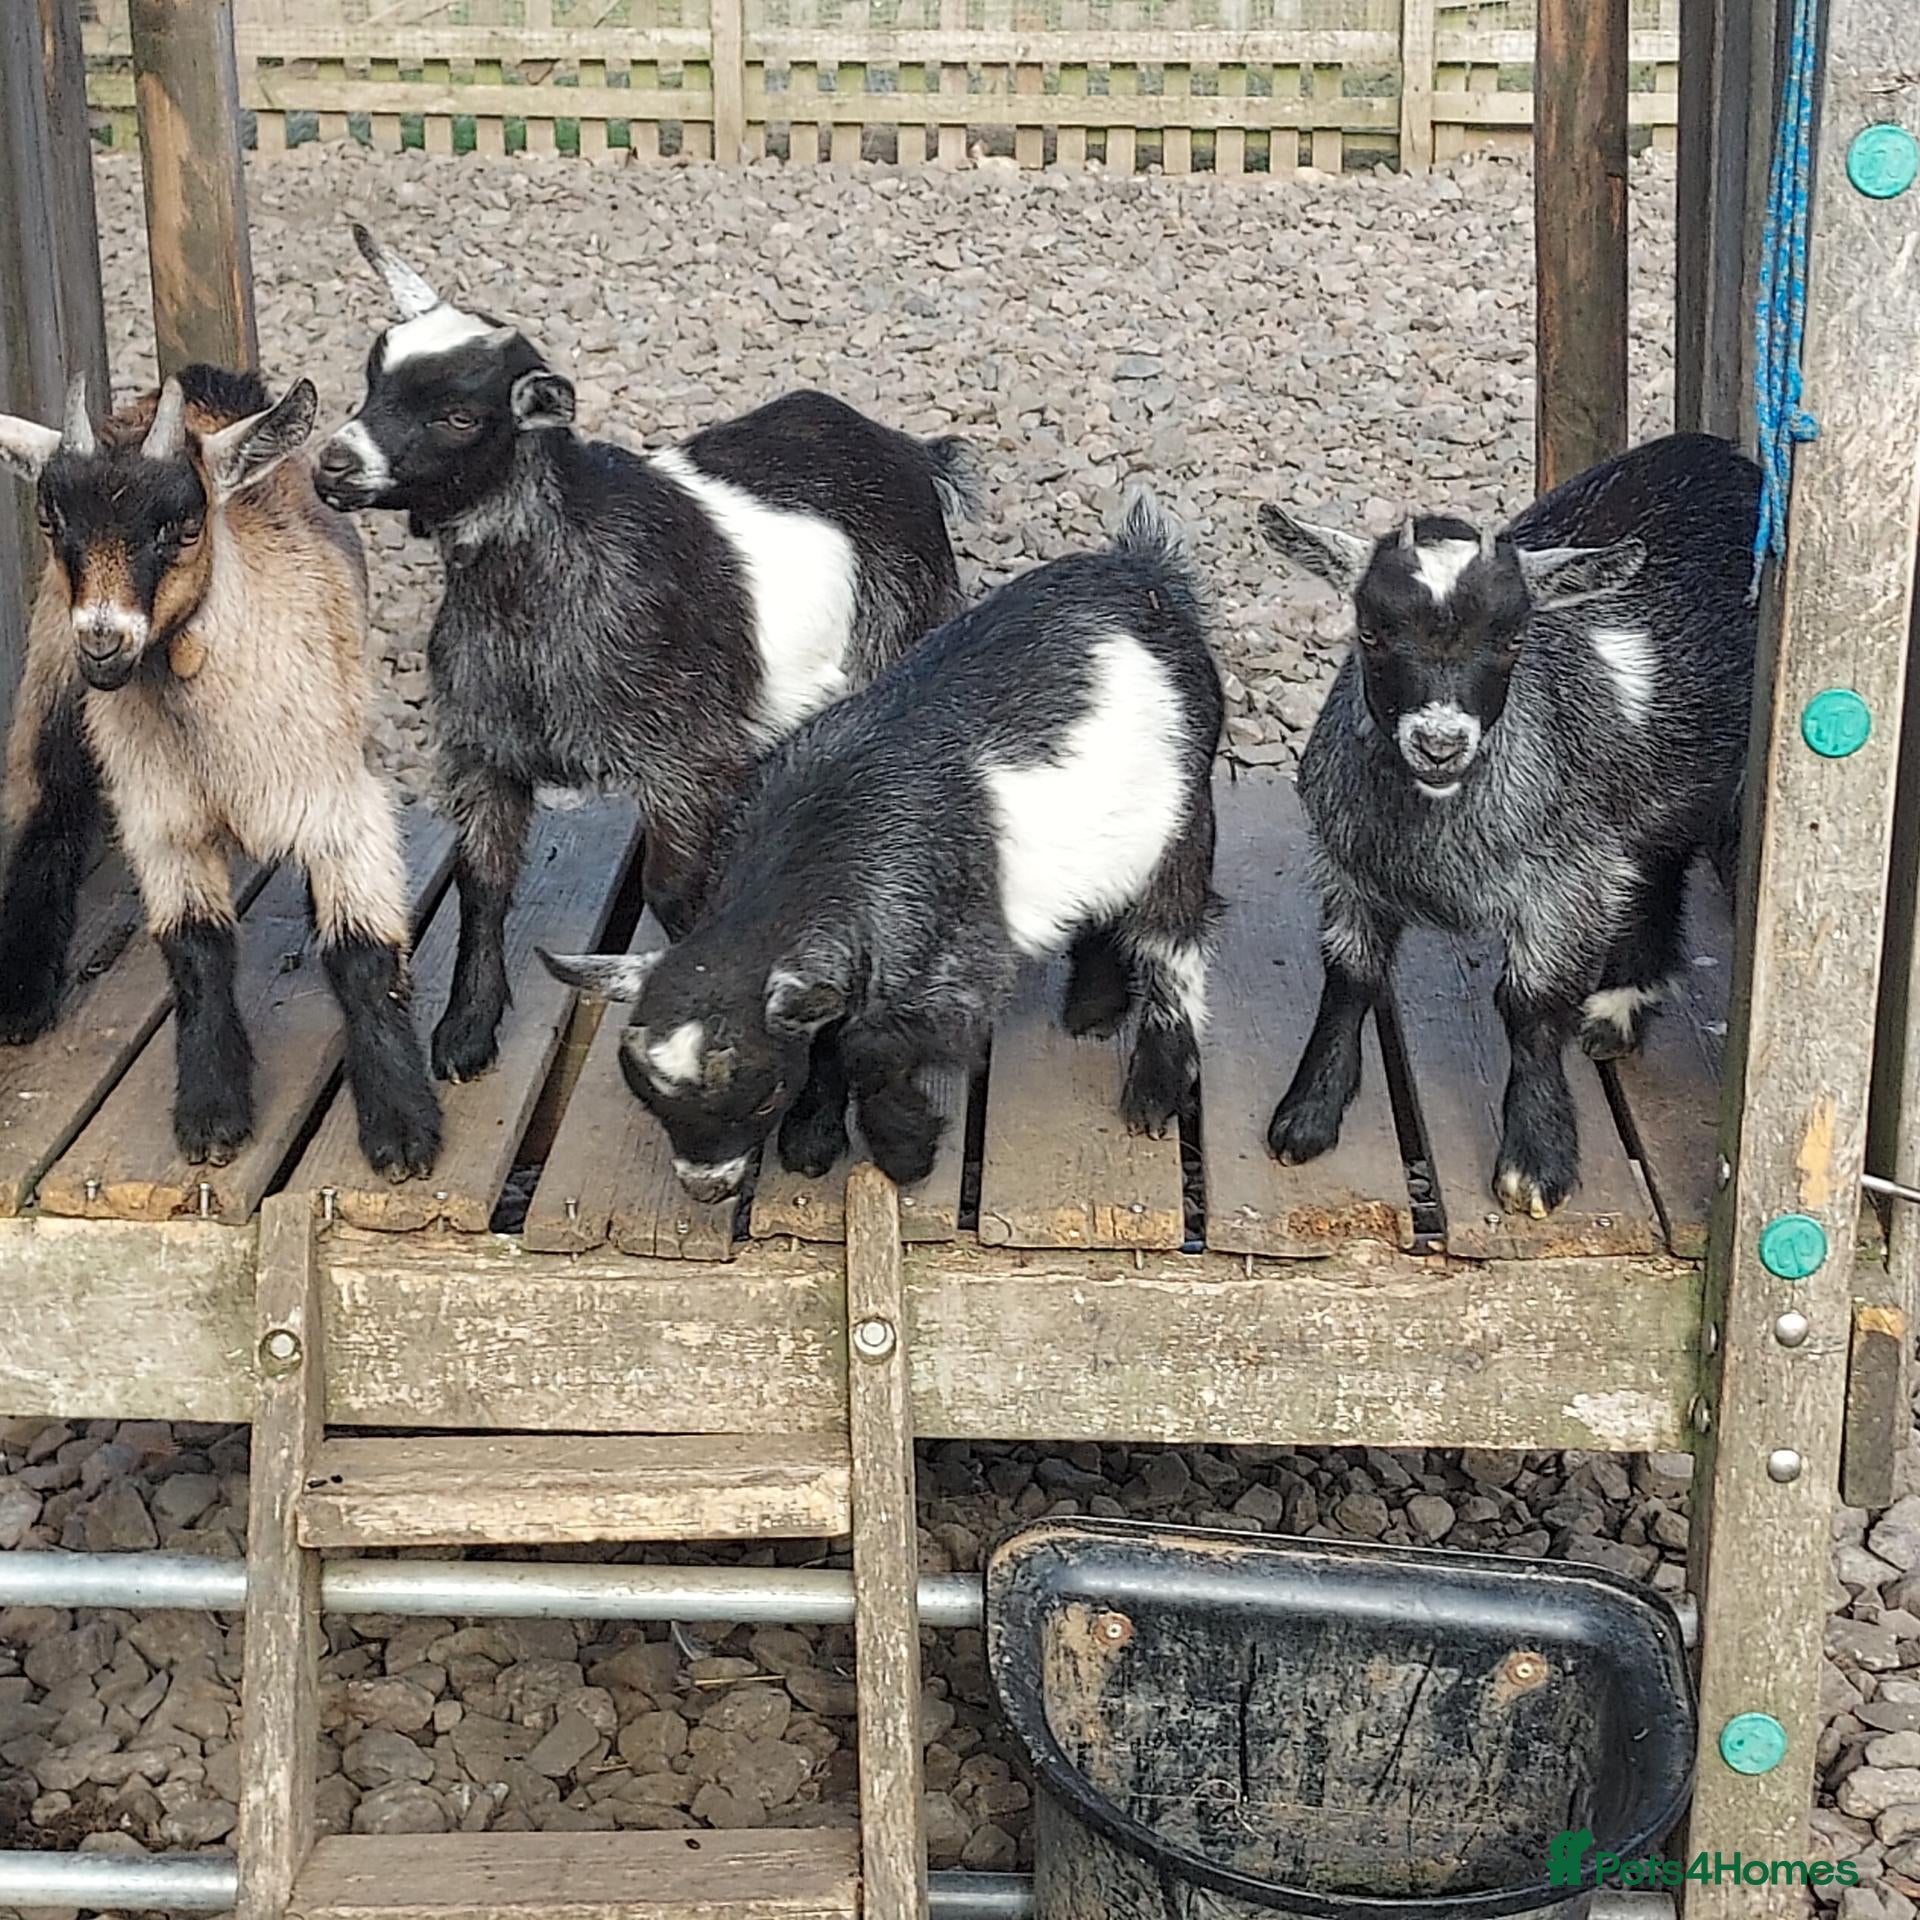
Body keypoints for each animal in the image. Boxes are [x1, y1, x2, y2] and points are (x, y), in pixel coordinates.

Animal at [0, 367, 441, 1178]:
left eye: (183, 526)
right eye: (51, 522)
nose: (105, 642)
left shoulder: (342, 805)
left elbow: (363, 955)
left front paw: (401, 1128)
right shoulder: (162, 818)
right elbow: (197, 950)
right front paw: (211, 1112)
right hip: (51, 671)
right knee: (50, 802)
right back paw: (20, 994)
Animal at [312, 225, 974, 1087]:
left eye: (458, 415)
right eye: (372, 376)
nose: (333, 465)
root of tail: (908, 450)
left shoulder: (683, 758)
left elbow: (669, 888)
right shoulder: (485, 751)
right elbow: (482, 885)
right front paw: (465, 1032)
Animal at [540, 495, 1223, 1205]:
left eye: (763, 1097)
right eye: (651, 1101)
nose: (707, 1187)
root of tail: (1145, 572)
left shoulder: (951, 980)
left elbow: (864, 1052)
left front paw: (902, 1153)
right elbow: (826, 1042)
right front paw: (813, 1141)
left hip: (1185, 813)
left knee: (1175, 941)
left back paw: (1153, 1092)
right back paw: (1092, 1012)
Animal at [1259, 432, 1759, 1217]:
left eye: (1514, 640)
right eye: (1370, 633)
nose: (1440, 743)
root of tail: (1716, 452)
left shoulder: (1563, 887)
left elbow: (1529, 1006)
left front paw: (1536, 1162)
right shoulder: (1349, 867)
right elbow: (1350, 976)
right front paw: (1306, 1116)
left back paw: (1618, 1004)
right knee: (1656, 856)